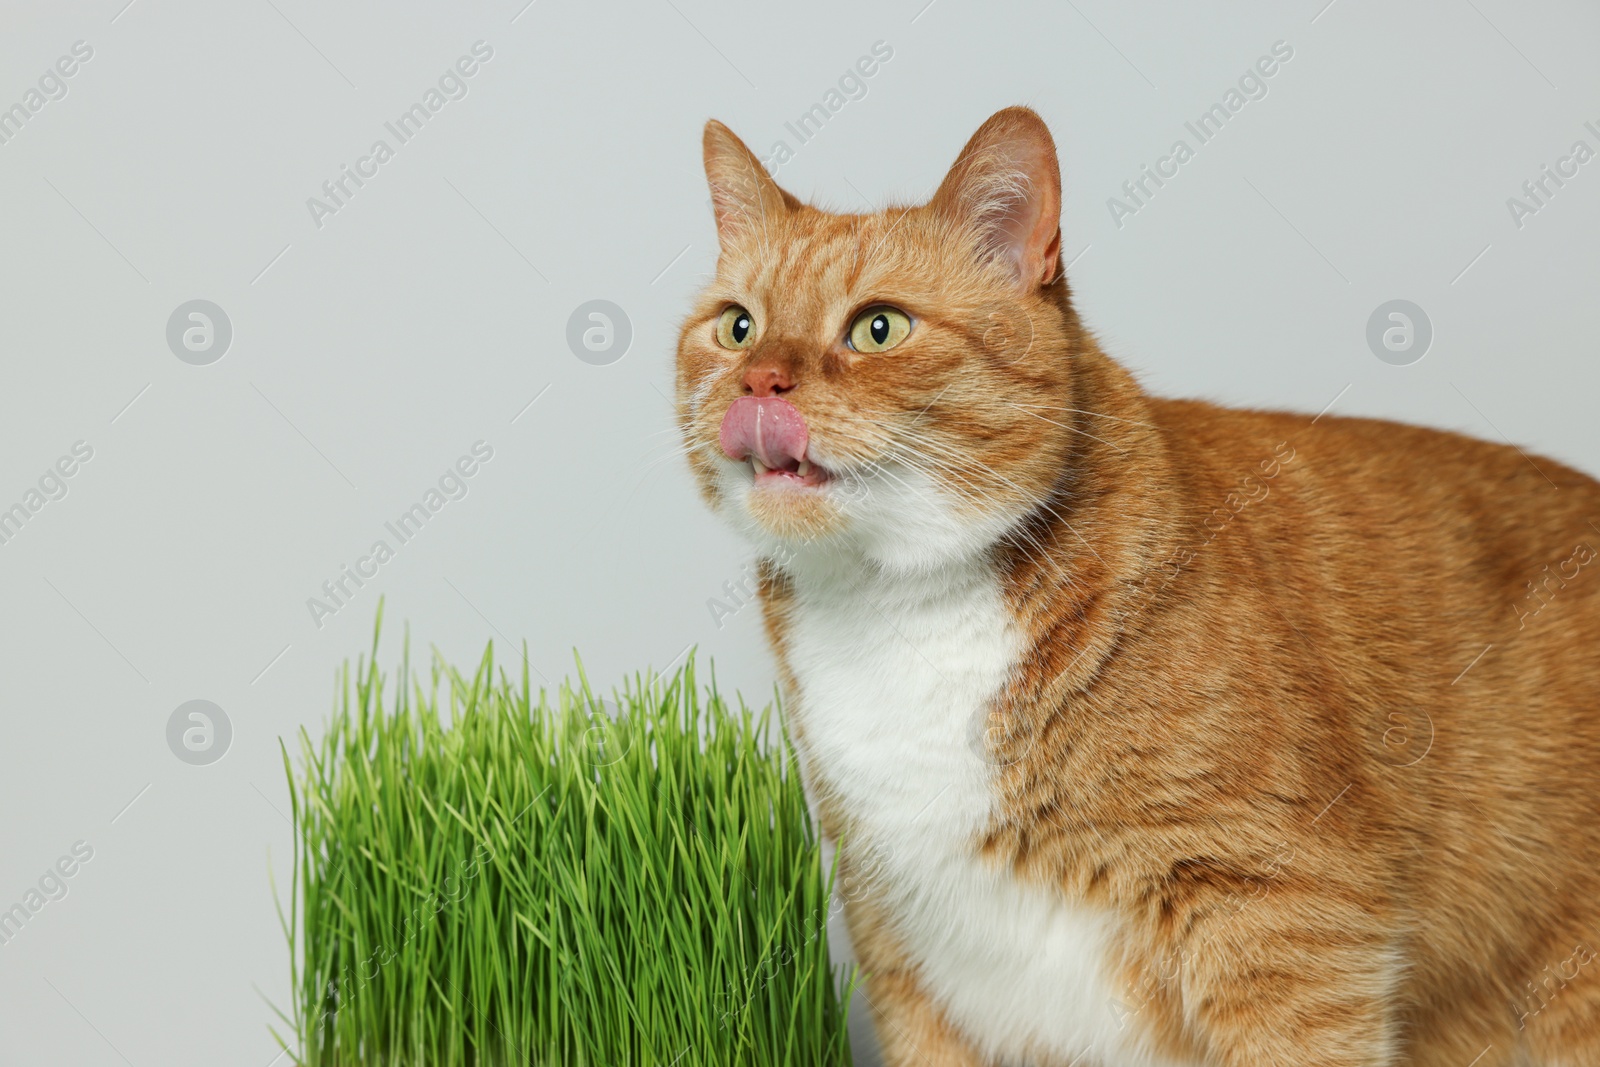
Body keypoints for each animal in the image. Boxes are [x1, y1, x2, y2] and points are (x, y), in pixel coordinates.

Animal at [672, 108, 1600, 1067]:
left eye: (878, 328)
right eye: (736, 327)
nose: (759, 378)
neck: (893, 612)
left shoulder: (1288, 923)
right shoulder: (904, 947)